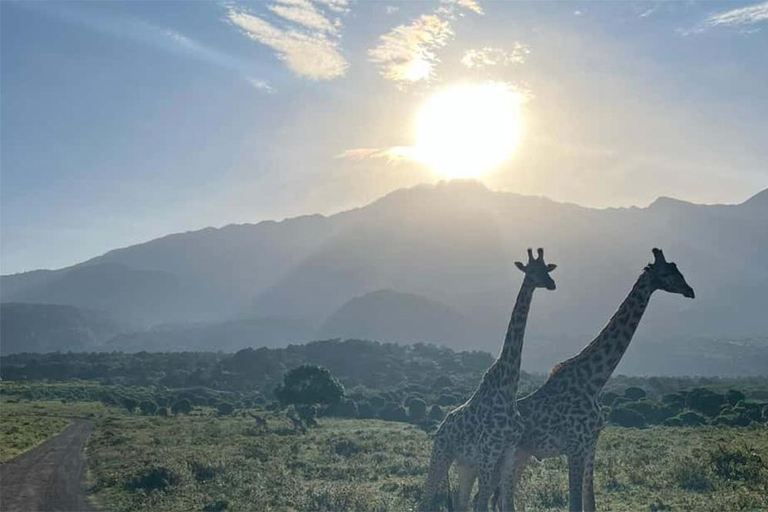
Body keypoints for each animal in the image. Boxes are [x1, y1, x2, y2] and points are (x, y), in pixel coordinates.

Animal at [420, 246, 560, 510]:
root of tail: (442, 426)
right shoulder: (489, 453)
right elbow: (483, 503)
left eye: (547, 269)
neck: (508, 388)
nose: (551, 284)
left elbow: (505, 503)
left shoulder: (508, 453)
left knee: (460, 502)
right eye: (531, 270)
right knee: (427, 498)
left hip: (466, 465)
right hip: (442, 453)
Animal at [496, 246, 692, 510]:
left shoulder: (590, 445)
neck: (595, 380)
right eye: (667, 273)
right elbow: (575, 503)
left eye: (678, 269)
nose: (690, 291)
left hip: (521, 456)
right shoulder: (575, 446)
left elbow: (590, 502)